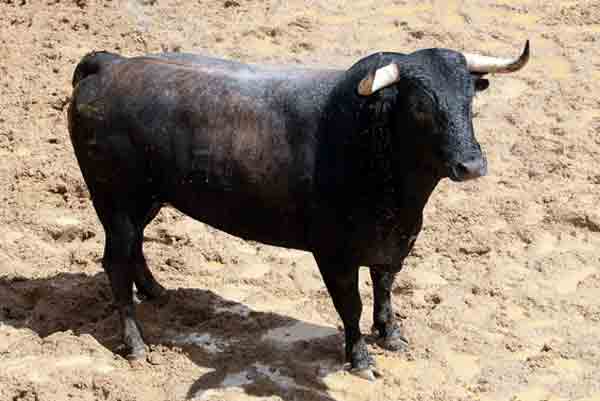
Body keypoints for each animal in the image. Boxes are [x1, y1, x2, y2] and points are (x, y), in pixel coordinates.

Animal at [68, 42, 528, 380]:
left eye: (469, 101)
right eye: (420, 106)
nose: (471, 165)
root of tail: (108, 65)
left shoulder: (394, 242)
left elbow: (384, 288)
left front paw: (391, 335)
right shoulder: (334, 255)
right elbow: (351, 305)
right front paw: (360, 359)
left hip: (146, 201)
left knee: (135, 249)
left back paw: (156, 291)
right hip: (115, 202)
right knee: (115, 261)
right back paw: (136, 344)